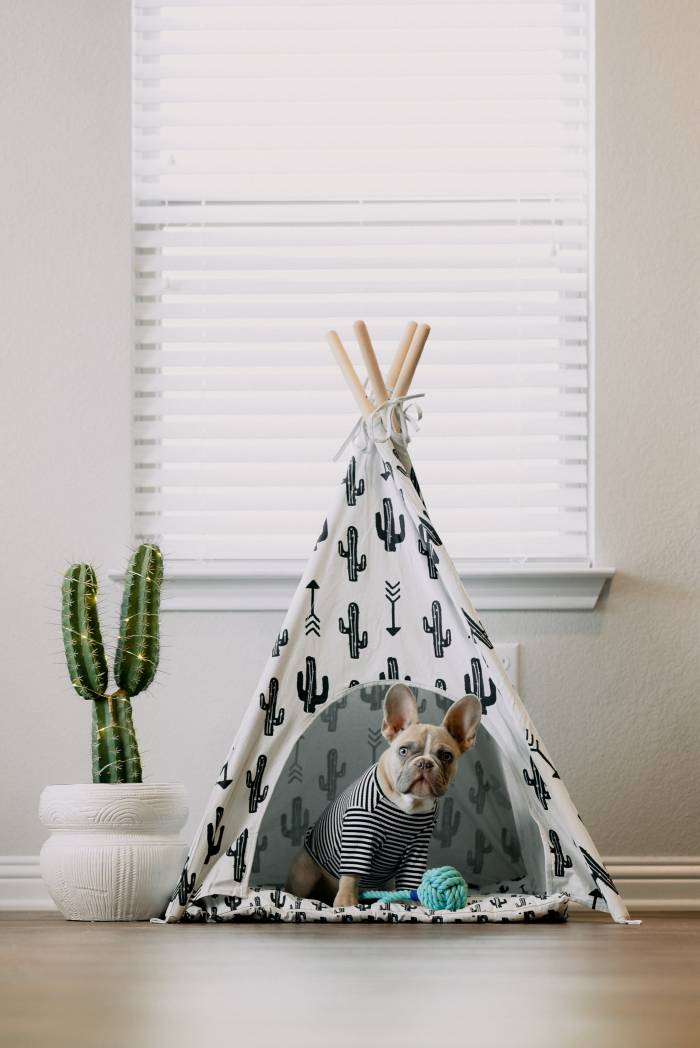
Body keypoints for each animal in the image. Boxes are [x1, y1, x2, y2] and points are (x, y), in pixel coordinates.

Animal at [285, 683, 482, 905]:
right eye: (403, 751)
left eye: (446, 756)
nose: (424, 763)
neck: (408, 805)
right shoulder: (358, 836)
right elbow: (351, 875)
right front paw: (346, 903)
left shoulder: (417, 847)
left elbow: (409, 880)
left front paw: (413, 905)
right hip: (305, 872)